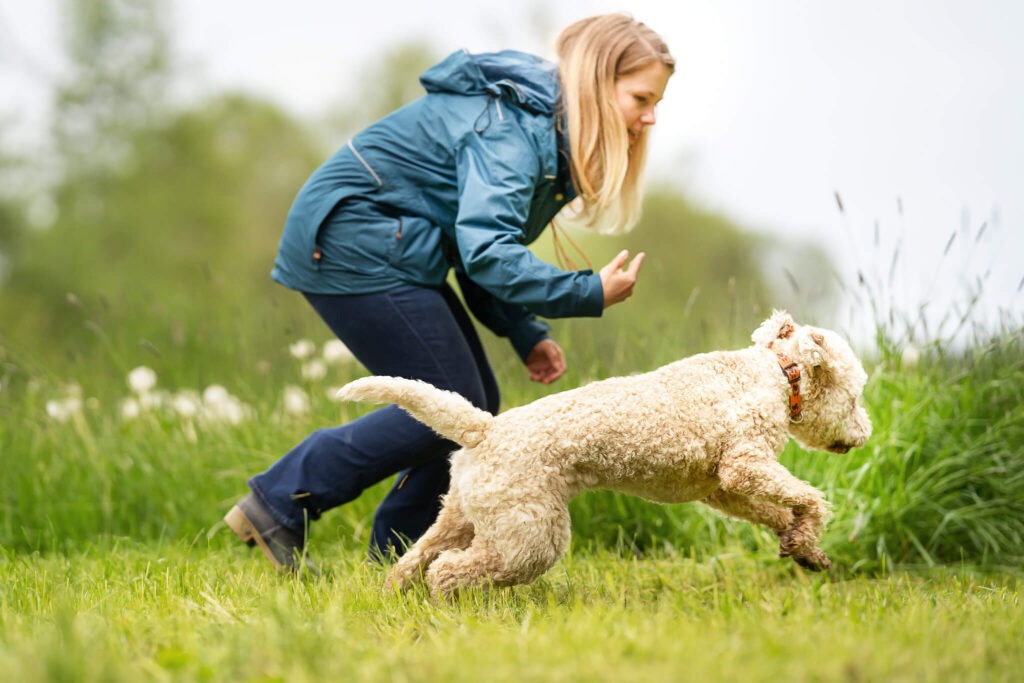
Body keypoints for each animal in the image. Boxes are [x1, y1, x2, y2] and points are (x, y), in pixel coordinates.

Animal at [339, 313, 868, 593]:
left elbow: (775, 512)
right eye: (856, 397)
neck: (777, 376)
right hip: (530, 535)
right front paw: (808, 535)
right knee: (449, 571)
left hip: (465, 515)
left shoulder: (720, 488)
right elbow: (809, 497)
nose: (864, 434)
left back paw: (392, 596)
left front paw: (802, 548)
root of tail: (484, 429)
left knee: (416, 558)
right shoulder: (744, 464)